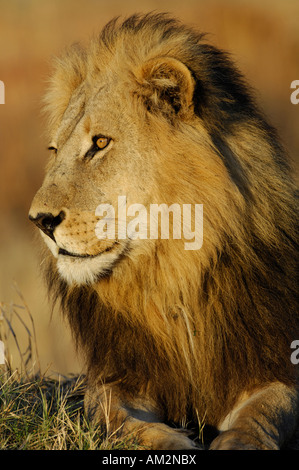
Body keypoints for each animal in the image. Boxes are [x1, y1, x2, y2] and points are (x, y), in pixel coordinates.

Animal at [28, 12, 299, 450]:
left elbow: (263, 414)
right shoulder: (119, 379)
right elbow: (124, 421)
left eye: (100, 143)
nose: (40, 220)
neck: (173, 274)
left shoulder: (270, 363)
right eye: (54, 151)